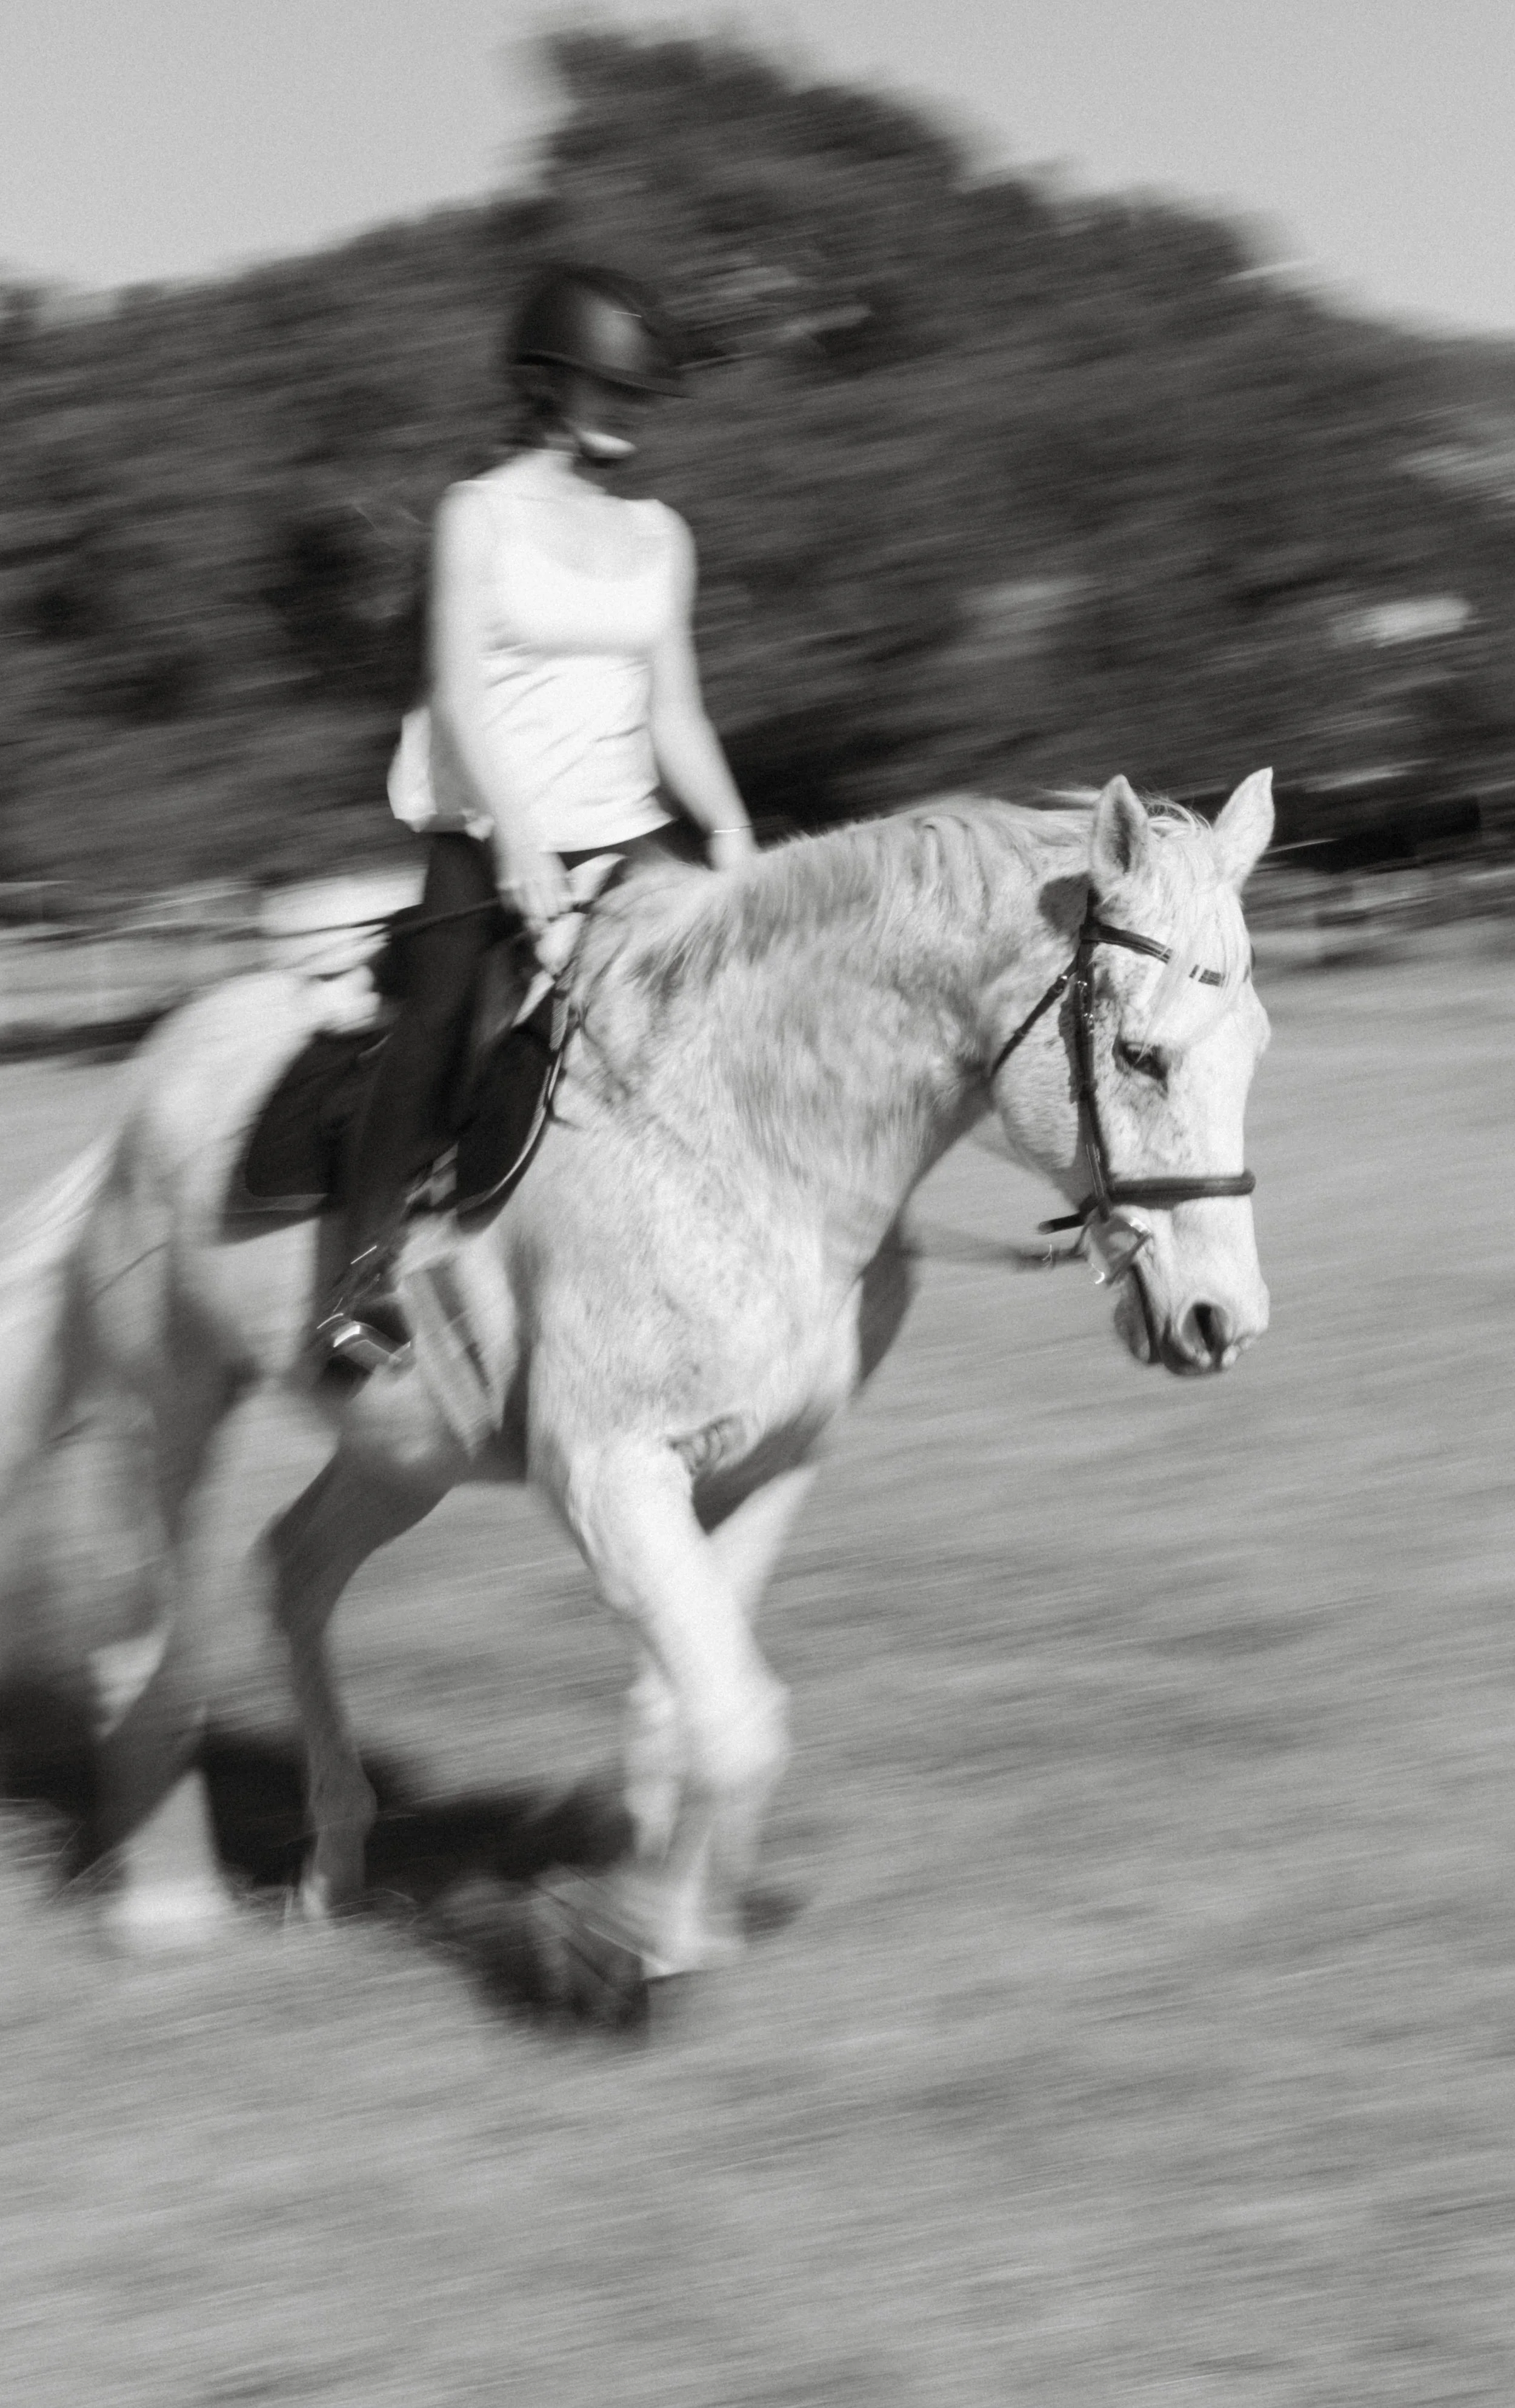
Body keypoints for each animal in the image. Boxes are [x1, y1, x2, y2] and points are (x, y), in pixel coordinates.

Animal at [0, 770, 1273, 2001]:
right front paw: (622, 1937)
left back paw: (332, 1866)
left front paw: (673, 1908)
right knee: (146, 1638)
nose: (1223, 1319)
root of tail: (150, 1080)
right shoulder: (603, 1471)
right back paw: (167, 1904)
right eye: (1140, 1053)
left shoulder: (766, 1466)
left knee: (297, 1567)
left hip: (409, 1443)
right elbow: (734, 1716)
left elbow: (692, 1706)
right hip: (173, 1405)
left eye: (1256, 1044)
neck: (759, 1144)